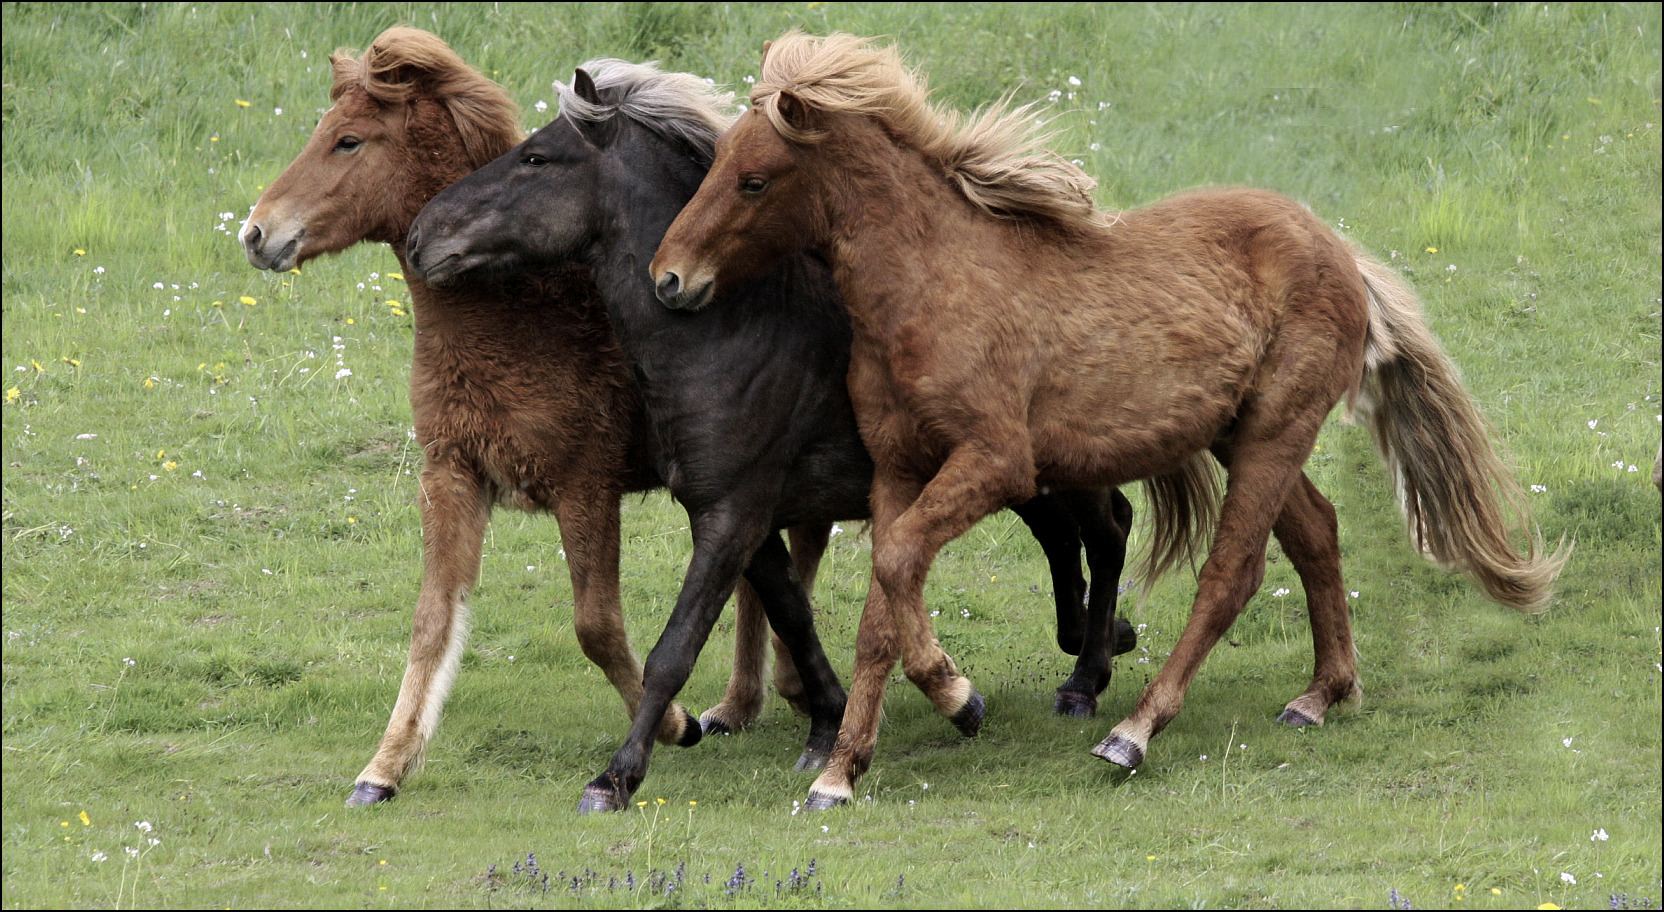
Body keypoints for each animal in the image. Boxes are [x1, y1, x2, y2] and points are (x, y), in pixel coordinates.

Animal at [237, 26, 832, 805]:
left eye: (348, 141)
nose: (255, 233)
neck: (521, 316)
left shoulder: (586, 488)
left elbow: (597, 627)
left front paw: (668, 726)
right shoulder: (452, 475)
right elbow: (433, 621)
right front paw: (385, 766)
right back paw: (743, 704)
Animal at [401, 58, 1138, 812]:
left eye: (537, 158)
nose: (422, 237)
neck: (734, 331)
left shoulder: (731, 515)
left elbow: (675, 647)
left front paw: (616, 776)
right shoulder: (740, 516)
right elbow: (792, 613)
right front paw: (828, 724)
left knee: (1109, 528)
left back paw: (1086, 680)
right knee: (1069, 535)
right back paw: (1097, 640)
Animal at [652, 32, 1570, 808]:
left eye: (755, 179)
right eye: (718, 162)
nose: (669, 280)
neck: (931, 286)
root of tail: (1337, 249)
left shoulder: (995, 463)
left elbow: (901, 564)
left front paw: (950, 701)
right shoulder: (898, 469)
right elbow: (885, 601)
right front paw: (847, 767)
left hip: (1275, 432)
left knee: (1232, 573)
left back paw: (1134, 731)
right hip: (1241, 435)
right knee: (1316, 532)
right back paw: (1320, 693)